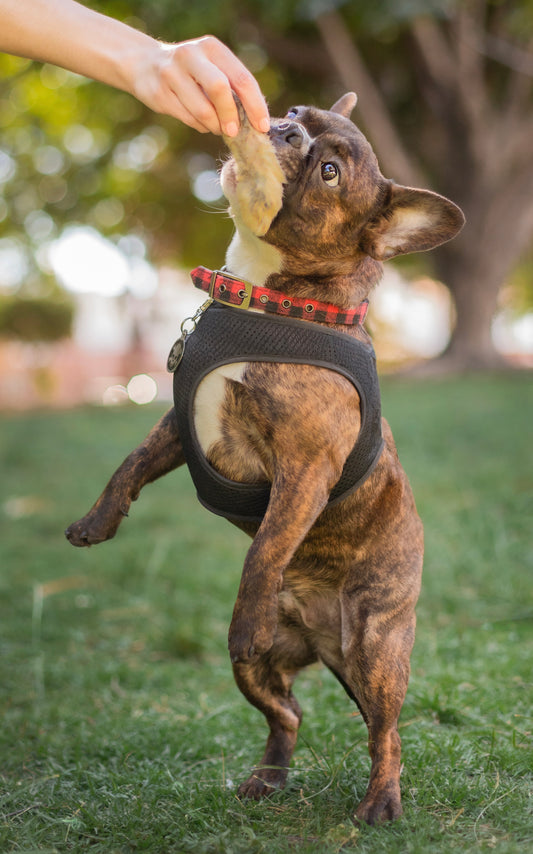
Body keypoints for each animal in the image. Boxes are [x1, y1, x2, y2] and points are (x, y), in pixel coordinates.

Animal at [65, 95, 462, 828]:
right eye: (297, 110)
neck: (270, 297)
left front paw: (249, 602)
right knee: (290, 713)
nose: (286, 127)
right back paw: (267, 778)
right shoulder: (178, 424)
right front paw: (96, 523)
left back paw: (380, 800)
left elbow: (266, 547)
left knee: (385, 731)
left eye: (330, 171)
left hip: (376, 649)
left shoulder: (302, 471)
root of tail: (324, 644)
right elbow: (131, 463)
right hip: (255, 670)